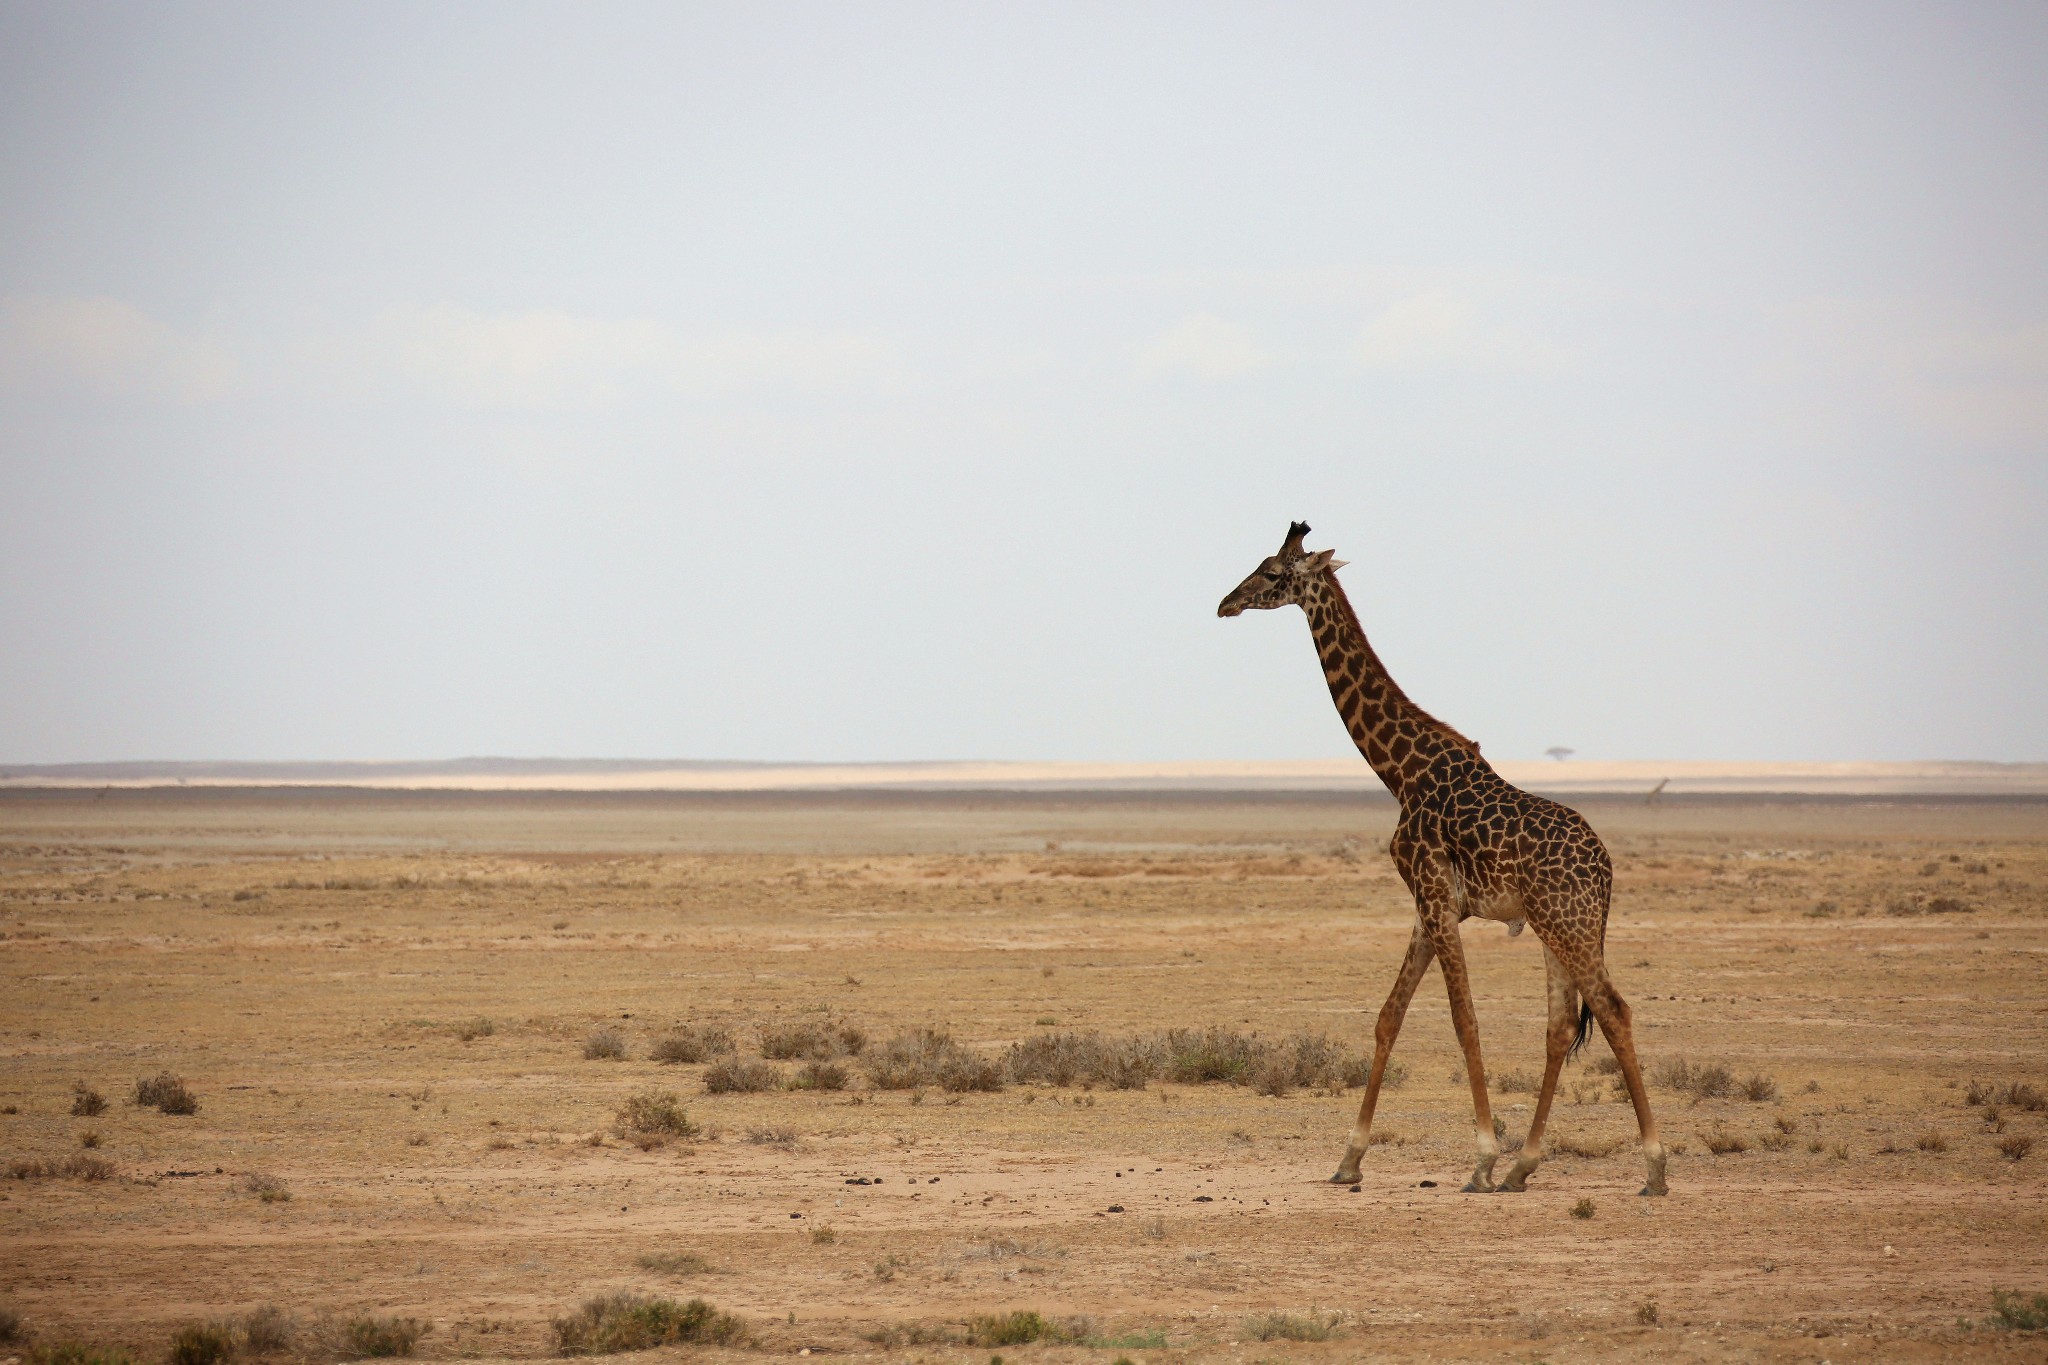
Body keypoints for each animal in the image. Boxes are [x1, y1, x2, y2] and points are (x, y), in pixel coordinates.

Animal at [1212, 523, 1662, 1195]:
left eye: (1271, 572)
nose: (1225, 603)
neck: (1401, 771)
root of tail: (1605, 868)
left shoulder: (1435, 897)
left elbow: (1463, 1019)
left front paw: (1481, 1161)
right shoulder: (1428, 907)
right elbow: (1388, 1017)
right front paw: (1349, 1160)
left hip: (1569, 923)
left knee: (1613, 1009)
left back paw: (1653, 1168)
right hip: (1559, 927)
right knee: (1560, 1025)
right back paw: (1525, 1166)